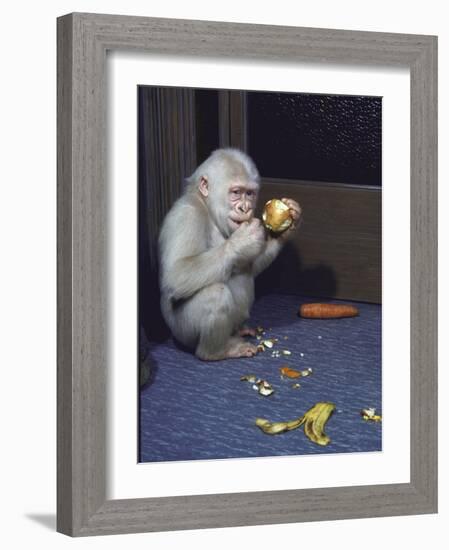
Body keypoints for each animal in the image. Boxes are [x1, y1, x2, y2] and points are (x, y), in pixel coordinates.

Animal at [158, 149, 300, 362]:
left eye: (249, 194)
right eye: (236, 193)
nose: (245, 208)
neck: (208, 209)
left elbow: (251, 263)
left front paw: (282, 234)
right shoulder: (187, 215)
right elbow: (177, 272)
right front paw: (241, 241)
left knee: (243, 271)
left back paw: (238, 330)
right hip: (182, 332)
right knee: (215, 293)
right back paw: (215, 351)